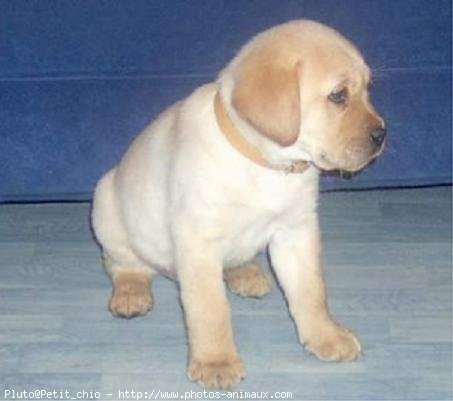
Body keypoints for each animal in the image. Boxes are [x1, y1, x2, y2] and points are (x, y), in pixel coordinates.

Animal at [92, 19, 384, 388]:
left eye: (368, 89)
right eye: (338, 96)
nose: (382, 135)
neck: (267, 165)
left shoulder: (296, 233)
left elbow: (311, 292)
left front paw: (325, 335)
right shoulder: (199, 242)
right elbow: (211, 310)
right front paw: (215, 361)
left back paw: (245, 273)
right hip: (107, 207)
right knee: (123, 264)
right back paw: (131, 293)